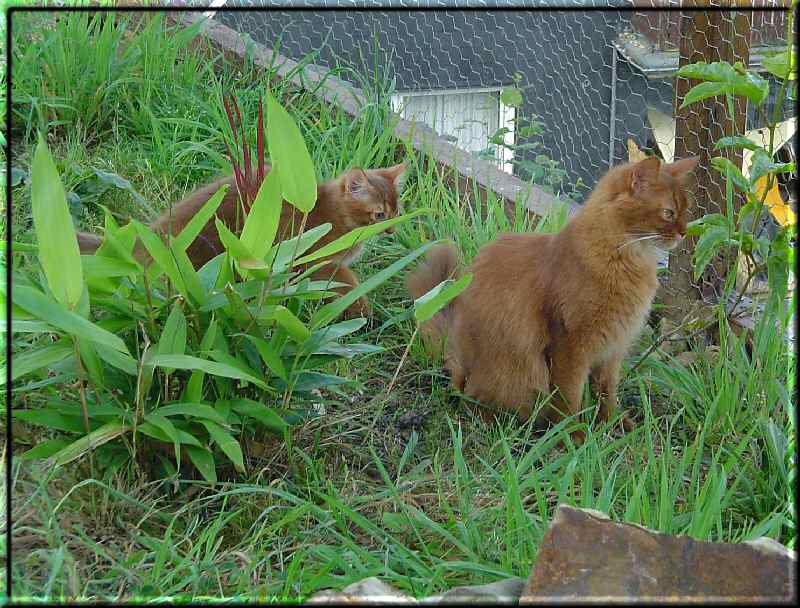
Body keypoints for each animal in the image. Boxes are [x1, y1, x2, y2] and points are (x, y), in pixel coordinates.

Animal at [410, 154, 696, 444]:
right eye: (668, 213)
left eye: (685, 210)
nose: (685, 232)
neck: (625, 261)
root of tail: (460, 364)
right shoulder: (570, 345)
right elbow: (569, 398)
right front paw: (575, 437)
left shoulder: (613, 347)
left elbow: (607, 392)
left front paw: (612, 424)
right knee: (475, 402)